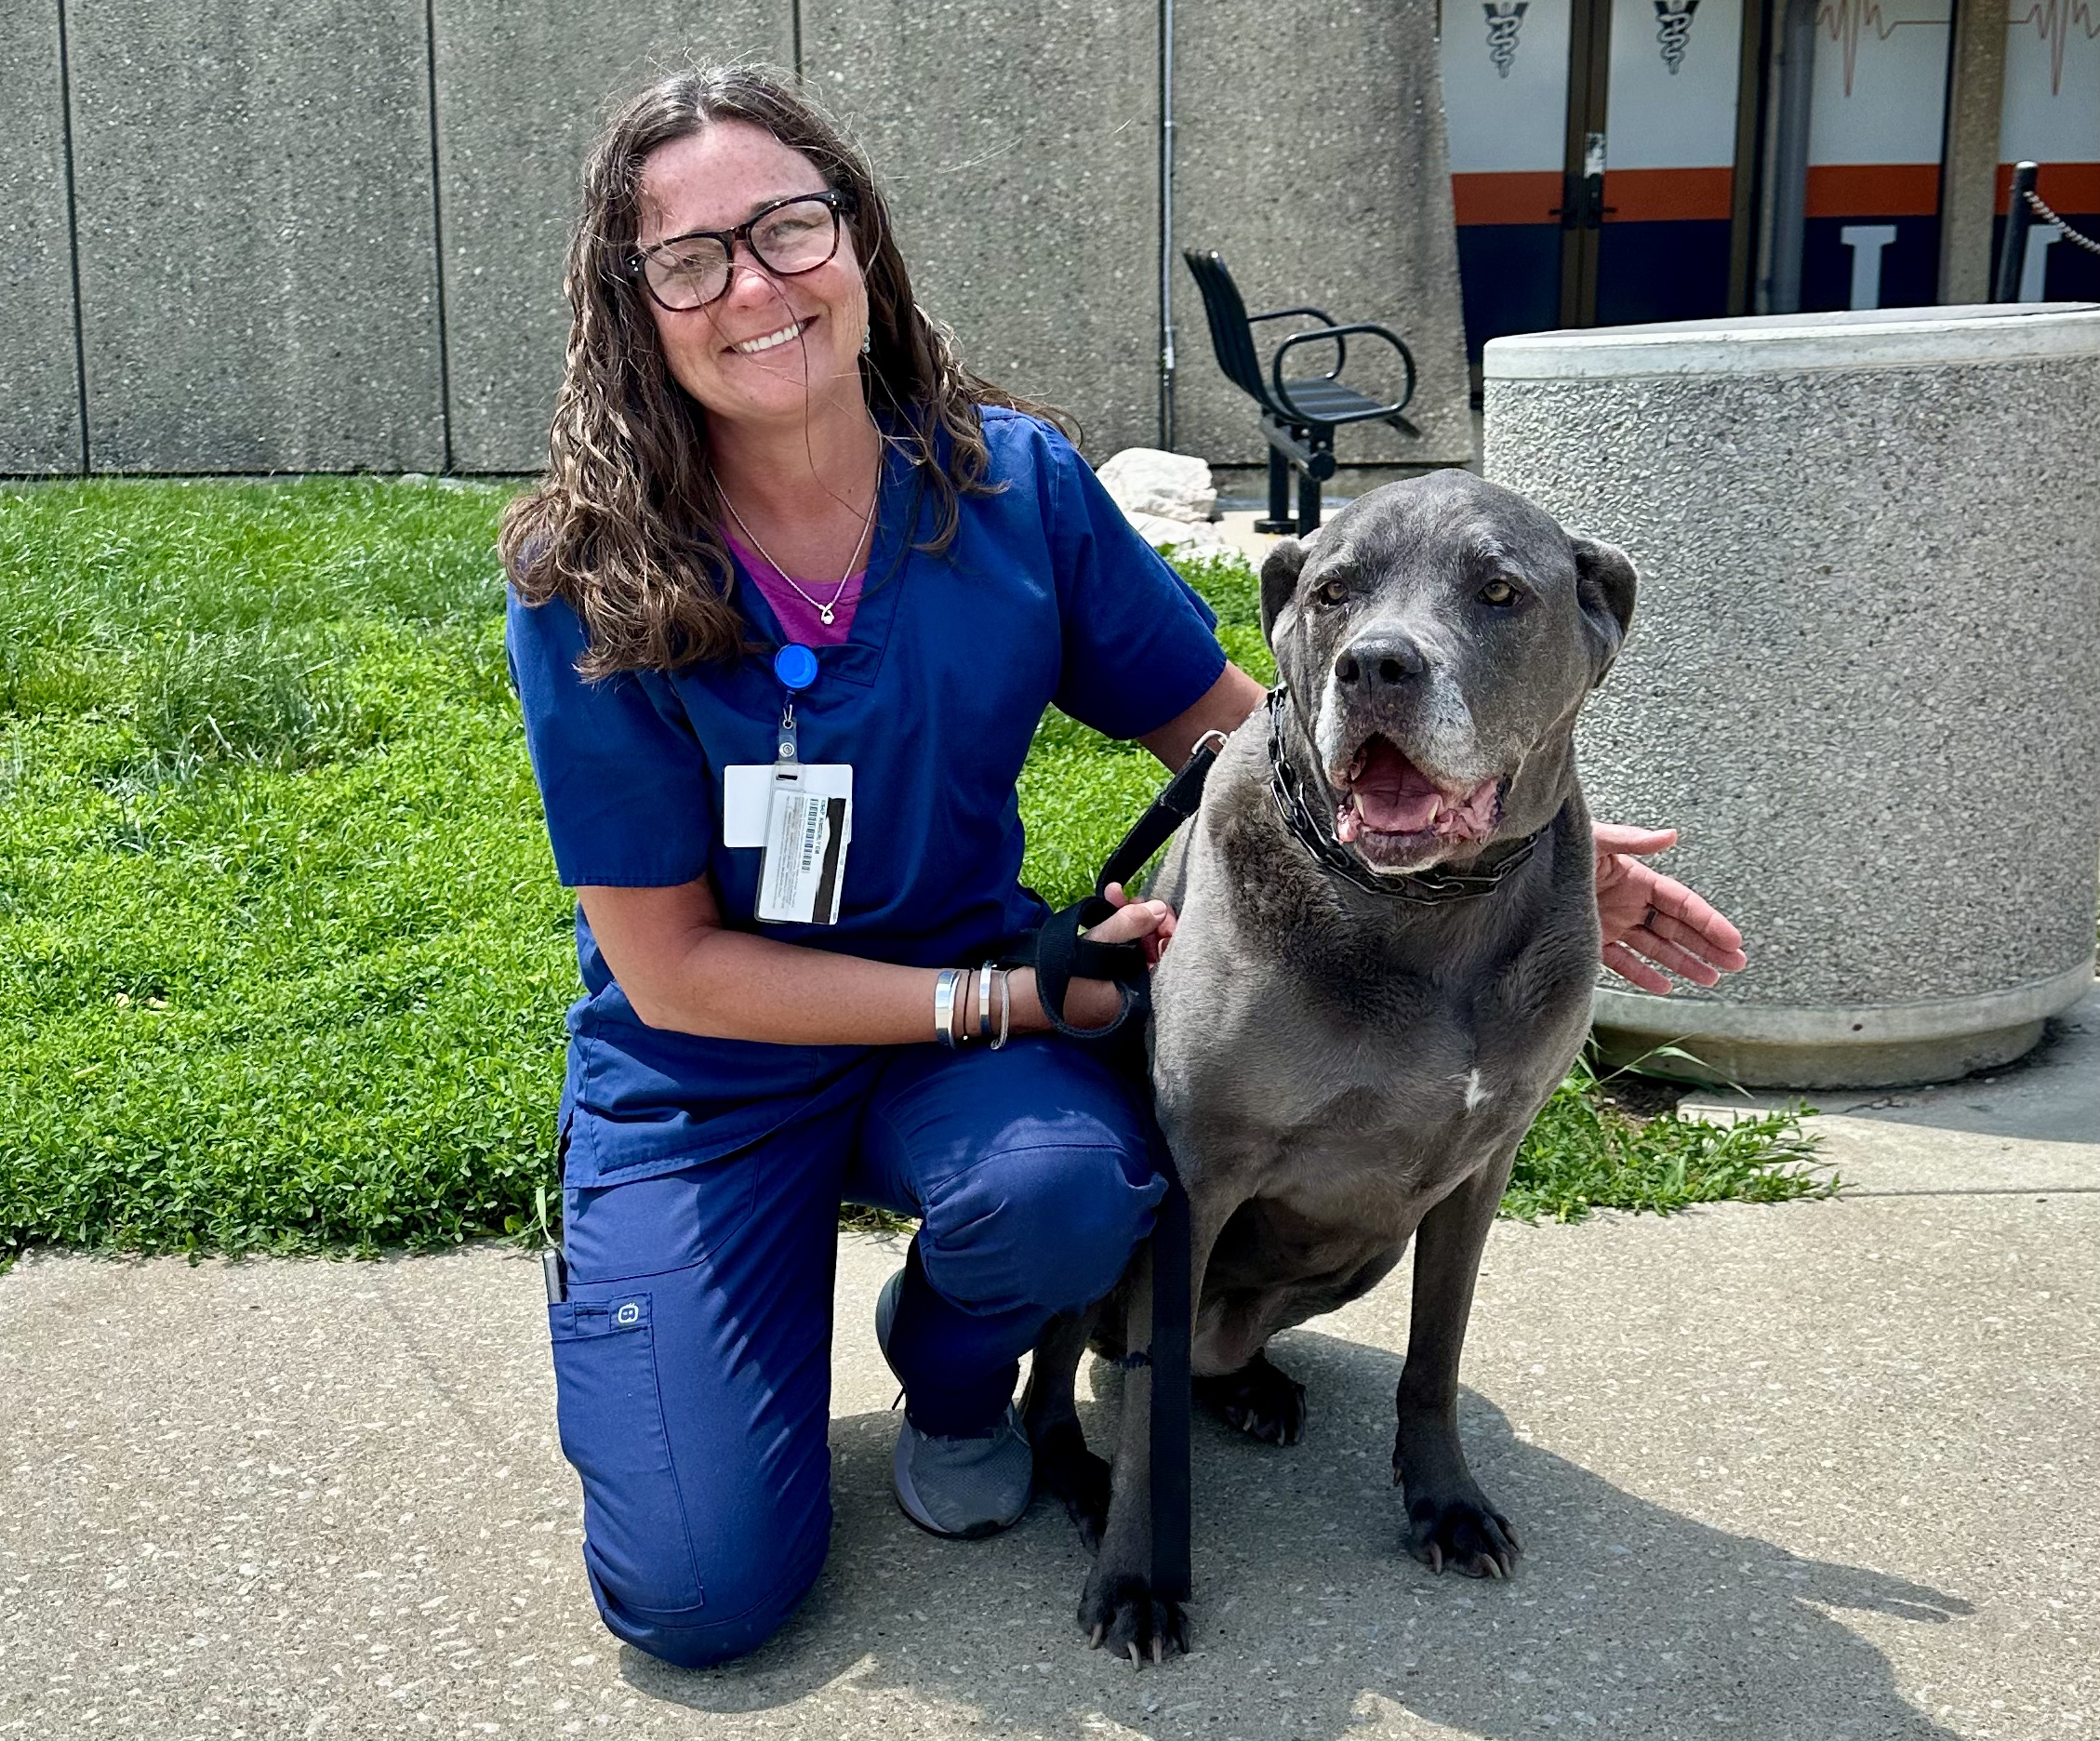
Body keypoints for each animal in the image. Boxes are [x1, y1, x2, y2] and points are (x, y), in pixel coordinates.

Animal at [1024, 472, 1629, 1655]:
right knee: (1068, 1380)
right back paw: (1077, 1477)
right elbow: (1149, 1414)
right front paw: (1138, 1577)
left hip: (1366, 1247)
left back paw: (1251, 1387)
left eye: (1499, 591)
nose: (1376, 666)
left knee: (1206, 1354)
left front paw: (1445, 1504)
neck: (1422, 913)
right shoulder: (1195, 1173)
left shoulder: (1480, 1170)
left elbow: (1434, 1356)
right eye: (1332, 592)